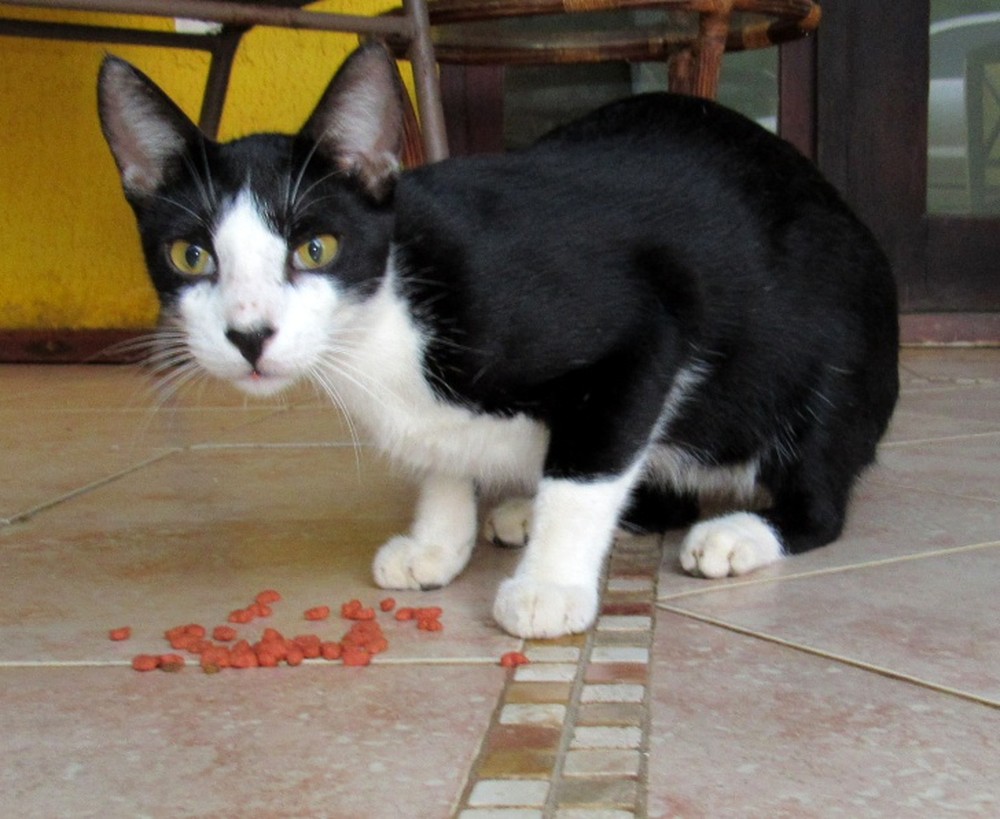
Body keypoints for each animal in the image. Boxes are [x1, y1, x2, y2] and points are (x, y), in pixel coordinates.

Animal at [99, 40, 900, 640]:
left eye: (316, 248)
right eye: (190, 256)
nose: (248, 334)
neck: (389, 313)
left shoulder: (643, 334)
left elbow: (588, 470)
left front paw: (550, 584)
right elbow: (441, 455)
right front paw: (438, 540)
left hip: (832, 353)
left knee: (816, 496)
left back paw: (741, 533)